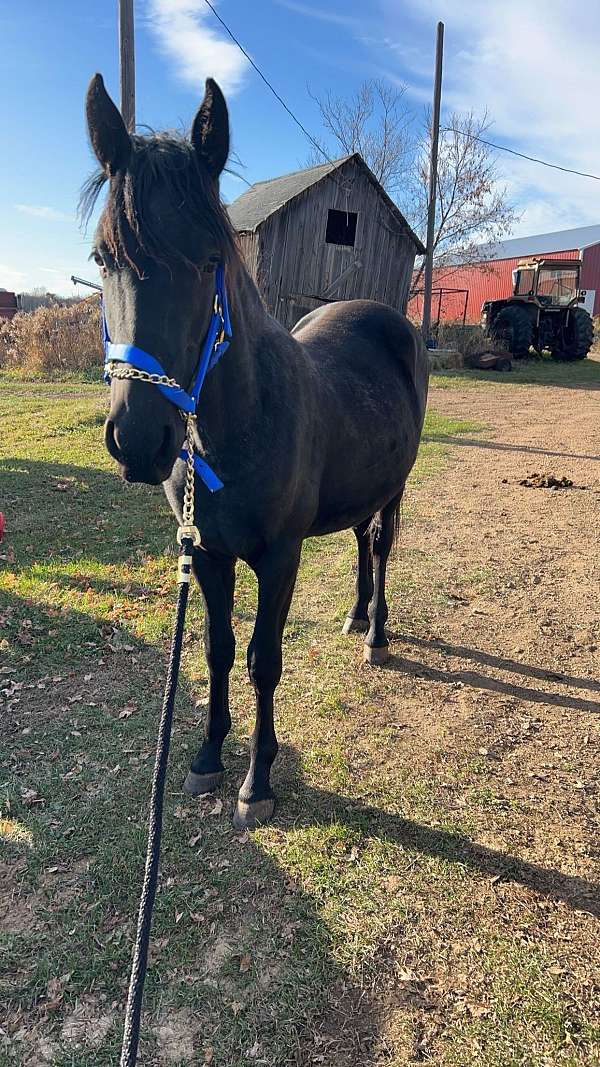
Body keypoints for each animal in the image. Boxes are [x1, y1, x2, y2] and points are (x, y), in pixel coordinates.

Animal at [84, 75, 427, 827]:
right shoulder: (208, 554)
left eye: (210, 259)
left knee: (381, 545)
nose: (137, 441)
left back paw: (376, 634)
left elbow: (263, 659)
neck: (235, 427)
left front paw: (257, 780)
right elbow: (216, 652)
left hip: (393, 488)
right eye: (103, 257)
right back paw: (356, 613)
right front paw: (208, 757)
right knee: (360, 541)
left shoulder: (279, 557)